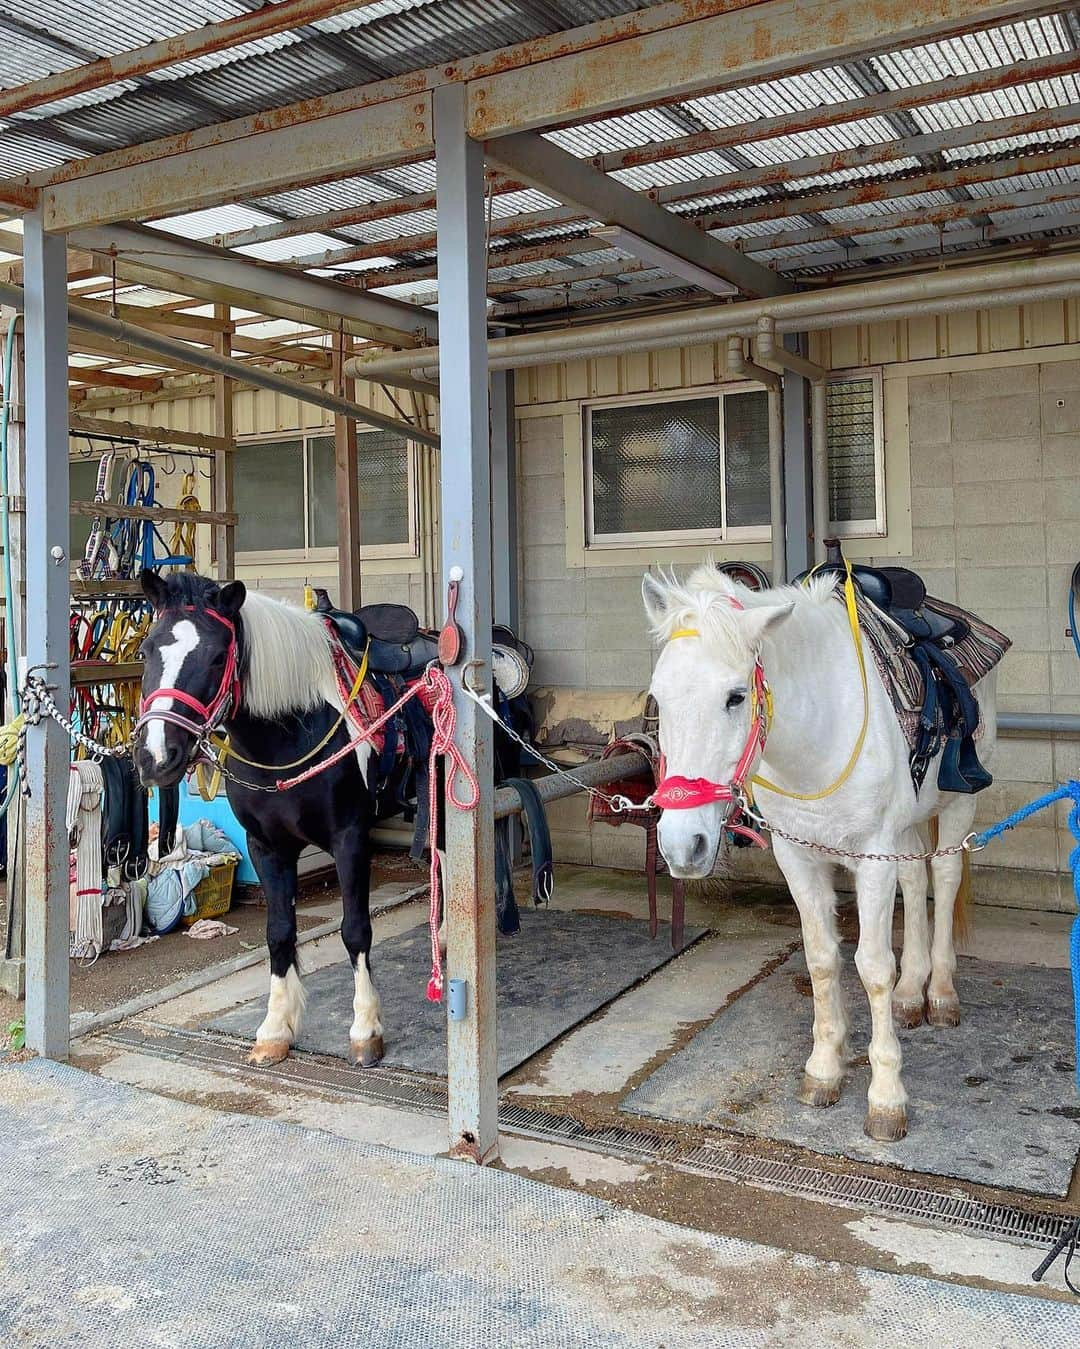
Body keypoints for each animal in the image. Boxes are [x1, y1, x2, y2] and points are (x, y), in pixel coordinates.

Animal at [134, 566, 385, 1063]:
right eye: (148, 649)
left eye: (216, 658)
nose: (156, 757)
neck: (292, 730)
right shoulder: (266, 846)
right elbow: (279, 932)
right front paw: (275, 1029)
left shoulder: (351, 837)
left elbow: (355, 930)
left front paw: (365, 1028)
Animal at [641, 563, 992, 1143]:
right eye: (658, 699)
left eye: (736, 697)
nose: (681, 844)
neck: (816, 736)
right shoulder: (798, 858)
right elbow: (822, 958)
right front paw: (826, 1068)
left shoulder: (872, 858)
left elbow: (872, 965)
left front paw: (886, 1097)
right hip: (906, 828)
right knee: (916, 881)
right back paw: (911, 995)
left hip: (958, 803)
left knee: (943, 877)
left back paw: (940, 993)